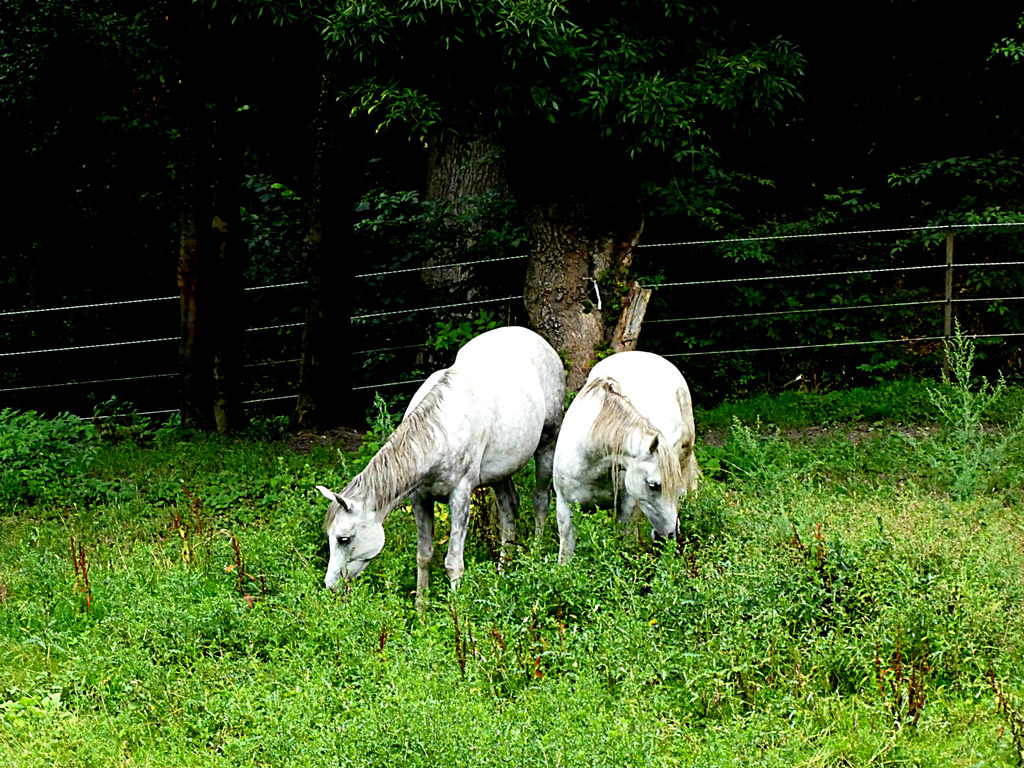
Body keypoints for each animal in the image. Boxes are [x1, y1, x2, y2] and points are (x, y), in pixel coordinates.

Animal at [313, 325, 565, 602]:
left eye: (344, 539)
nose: (331, 586)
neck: (439, 433)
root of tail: (536, 339)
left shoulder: (461, 496)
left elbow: (453, 563)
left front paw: (455, 608)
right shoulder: (420, 499)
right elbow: (424, 556)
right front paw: (421, 608)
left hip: (548, 442)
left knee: (540, 500)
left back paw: (535, 556)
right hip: (501, 471)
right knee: (510, 507)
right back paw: (502, 571)